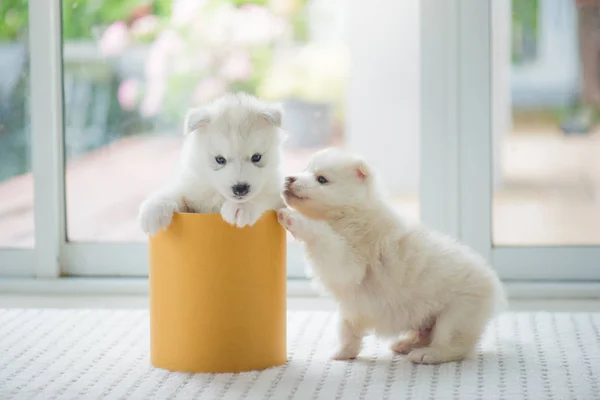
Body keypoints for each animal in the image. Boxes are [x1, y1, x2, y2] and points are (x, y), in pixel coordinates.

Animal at [139, 92, 284, 234]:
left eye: (256, 157)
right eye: (220, 159)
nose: (240, 189)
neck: (218, 195)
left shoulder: (276, 194)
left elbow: (264, 196)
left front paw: (241, 207)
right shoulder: (192, 194)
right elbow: (176, 192)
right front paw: (155, 208)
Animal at [276, 148, 506, 366]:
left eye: (321, 179)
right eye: (305, 169)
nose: (288, 178)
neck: (349, 213)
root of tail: (494, 284)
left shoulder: (351, 261)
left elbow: (326, 241)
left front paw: (292, 218)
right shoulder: (351, 306)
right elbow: (347, 329)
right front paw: (343, 353)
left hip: (458, 312)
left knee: (453, 344)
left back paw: (427, 354)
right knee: (426, 333)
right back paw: (405, 343)